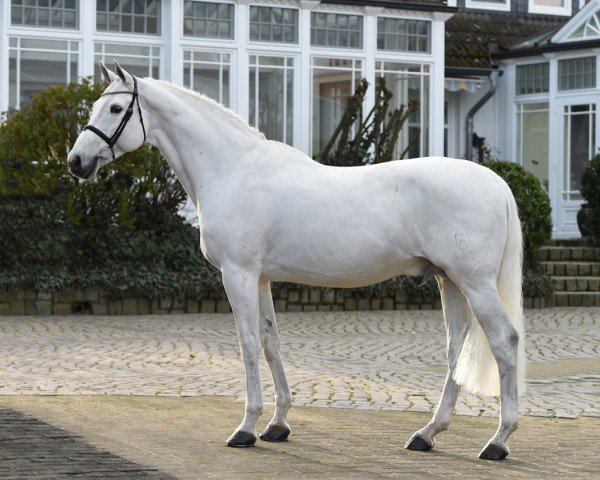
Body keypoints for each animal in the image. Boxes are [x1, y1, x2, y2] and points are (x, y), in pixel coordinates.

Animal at [69, 62, 524, 460]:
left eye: (114, 109)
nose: (76, 162)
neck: (232, 169)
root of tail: (495, 182)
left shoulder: (238, 274)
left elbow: (248, 343)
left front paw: (246, 428)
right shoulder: (260, 279)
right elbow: (271, 342)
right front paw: (278, 424)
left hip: (474, 283)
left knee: (504, 341)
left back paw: (498, 441)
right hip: (449, 281)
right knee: (456, 349)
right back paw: (427, 434)